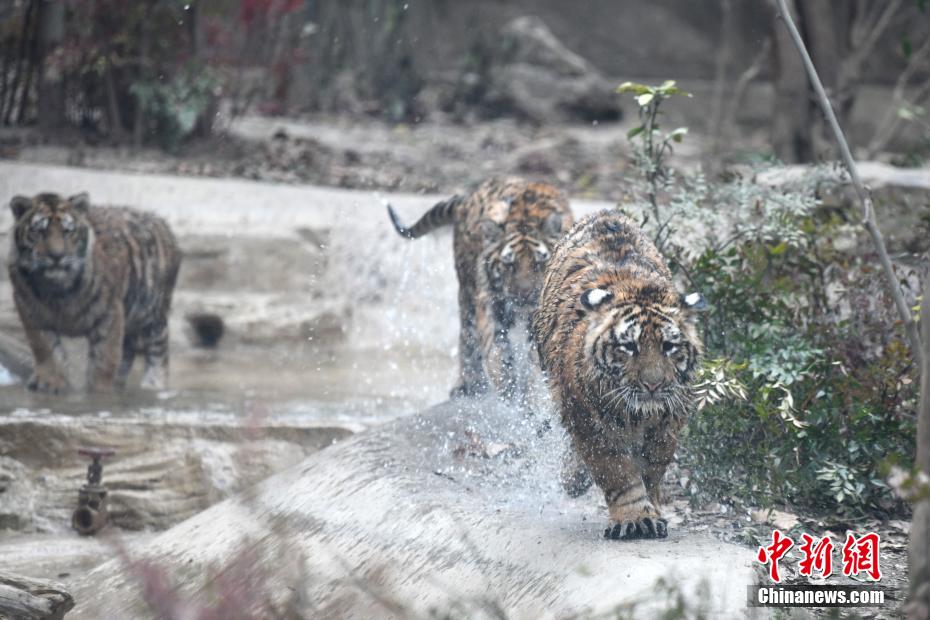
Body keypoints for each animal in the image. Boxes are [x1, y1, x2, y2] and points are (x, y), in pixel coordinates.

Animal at [384, 177, 572, 404]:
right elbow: (501, 356)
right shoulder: (492, 310)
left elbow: (532, 366)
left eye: (538, 263)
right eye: (509, 265)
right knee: (467, 338)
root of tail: (470, 196)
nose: (524, 295)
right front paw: (511, 395)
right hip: (467, 290)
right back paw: (468, 385)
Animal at [528, 211, 704, 540]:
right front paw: (636, 518)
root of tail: (605, 214)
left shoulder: (668, 423)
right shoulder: (589, 423)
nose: (653, 384)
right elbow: (618, 473)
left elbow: (652, 469)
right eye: (629, 346)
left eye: (669, 346)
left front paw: (652, 509)